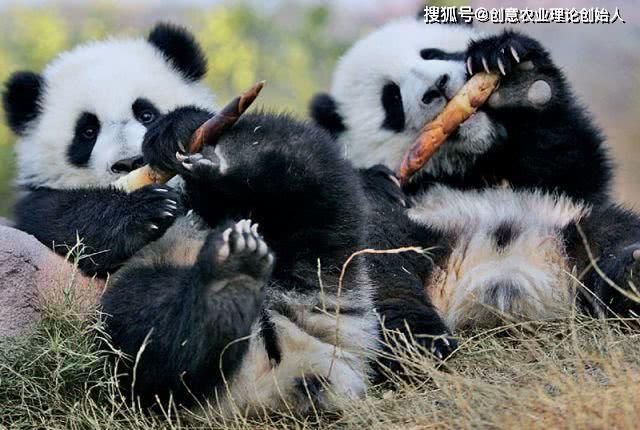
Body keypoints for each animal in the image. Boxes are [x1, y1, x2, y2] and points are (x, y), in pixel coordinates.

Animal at [312, 14, 640, 330]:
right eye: (391, 99)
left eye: (432, 53)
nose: (437, 86)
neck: (461, 167)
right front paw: (377, 182)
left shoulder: (555, 185)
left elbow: (573, 167)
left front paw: (518, 77)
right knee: (379, 268)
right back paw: (423, 335)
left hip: (563, 224)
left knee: (611, 231)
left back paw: (628, 273)